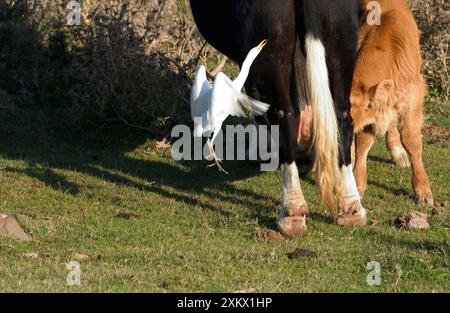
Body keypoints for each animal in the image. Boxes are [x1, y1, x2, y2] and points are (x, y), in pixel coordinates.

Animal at [190, 0, 366, 235]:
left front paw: (258, 153)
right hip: (340, 35)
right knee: (341, 115)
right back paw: (351, 207)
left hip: (270, 47)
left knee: (283, 116)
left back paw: (292, 212)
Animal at [352, 0, 432, 205]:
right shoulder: (370, 116)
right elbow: (363, 143)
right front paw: (358, 184)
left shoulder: (413, 98)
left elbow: (411, 140)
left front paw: (422, 189)